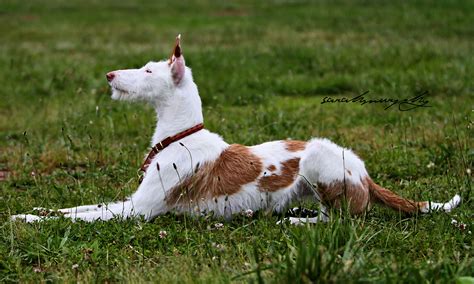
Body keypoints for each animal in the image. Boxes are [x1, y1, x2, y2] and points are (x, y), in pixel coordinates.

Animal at [12, 35, 462, 224]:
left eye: (149, 71)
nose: (108, 75)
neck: (179, 137)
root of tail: (366, 173)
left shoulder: (138, 211)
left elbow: (80, 216)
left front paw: (29, 219)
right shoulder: (128, 201)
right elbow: (77, 208)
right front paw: (33, 211)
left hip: (319, 156)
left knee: (342, 222)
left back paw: (293, 223)